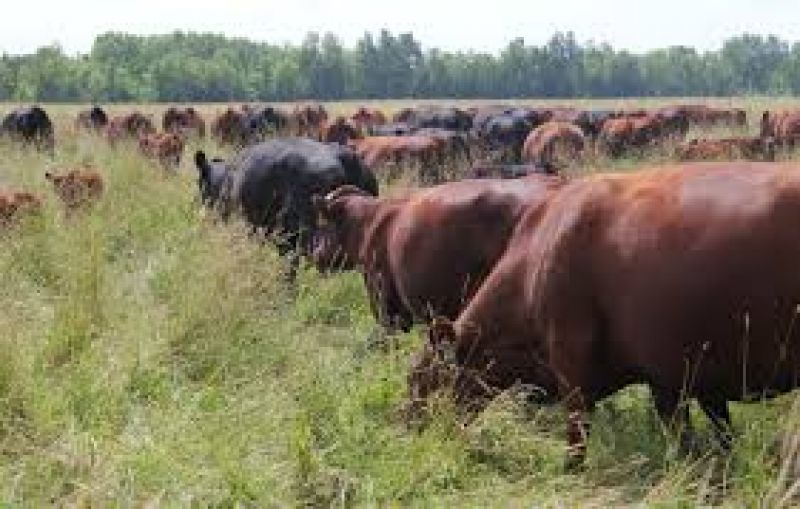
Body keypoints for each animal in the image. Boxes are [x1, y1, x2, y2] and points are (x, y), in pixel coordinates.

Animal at [408, 162, 800, 470]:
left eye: (425, 383)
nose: (410, 440)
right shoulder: (675, 375)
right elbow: (702, 439)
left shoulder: (572, 364)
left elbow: (577, 436)